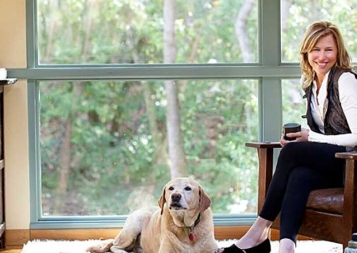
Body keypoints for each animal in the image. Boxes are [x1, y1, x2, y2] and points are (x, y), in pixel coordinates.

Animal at [87, 178, 218, 253]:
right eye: (171, 188)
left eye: (188, 188)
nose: (175, 196)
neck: (186, 227)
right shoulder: (166, 251)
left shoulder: (212, 249)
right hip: (133, 227)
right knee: (114, 246)